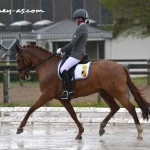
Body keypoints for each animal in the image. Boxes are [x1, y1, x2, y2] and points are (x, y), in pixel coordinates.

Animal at [15, 44, 150, 139]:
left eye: (18, 60)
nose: (22, 75)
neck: (47, 66)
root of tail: (121, 66)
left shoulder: (47, 94)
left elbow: (31, 108)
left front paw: (20, 128)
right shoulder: (63, 99)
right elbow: (73, 114)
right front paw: (80, 133)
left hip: (117, 92)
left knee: (130, 108)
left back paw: (139, 132)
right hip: (104, 92)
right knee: (115, 107)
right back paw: (101, 128)